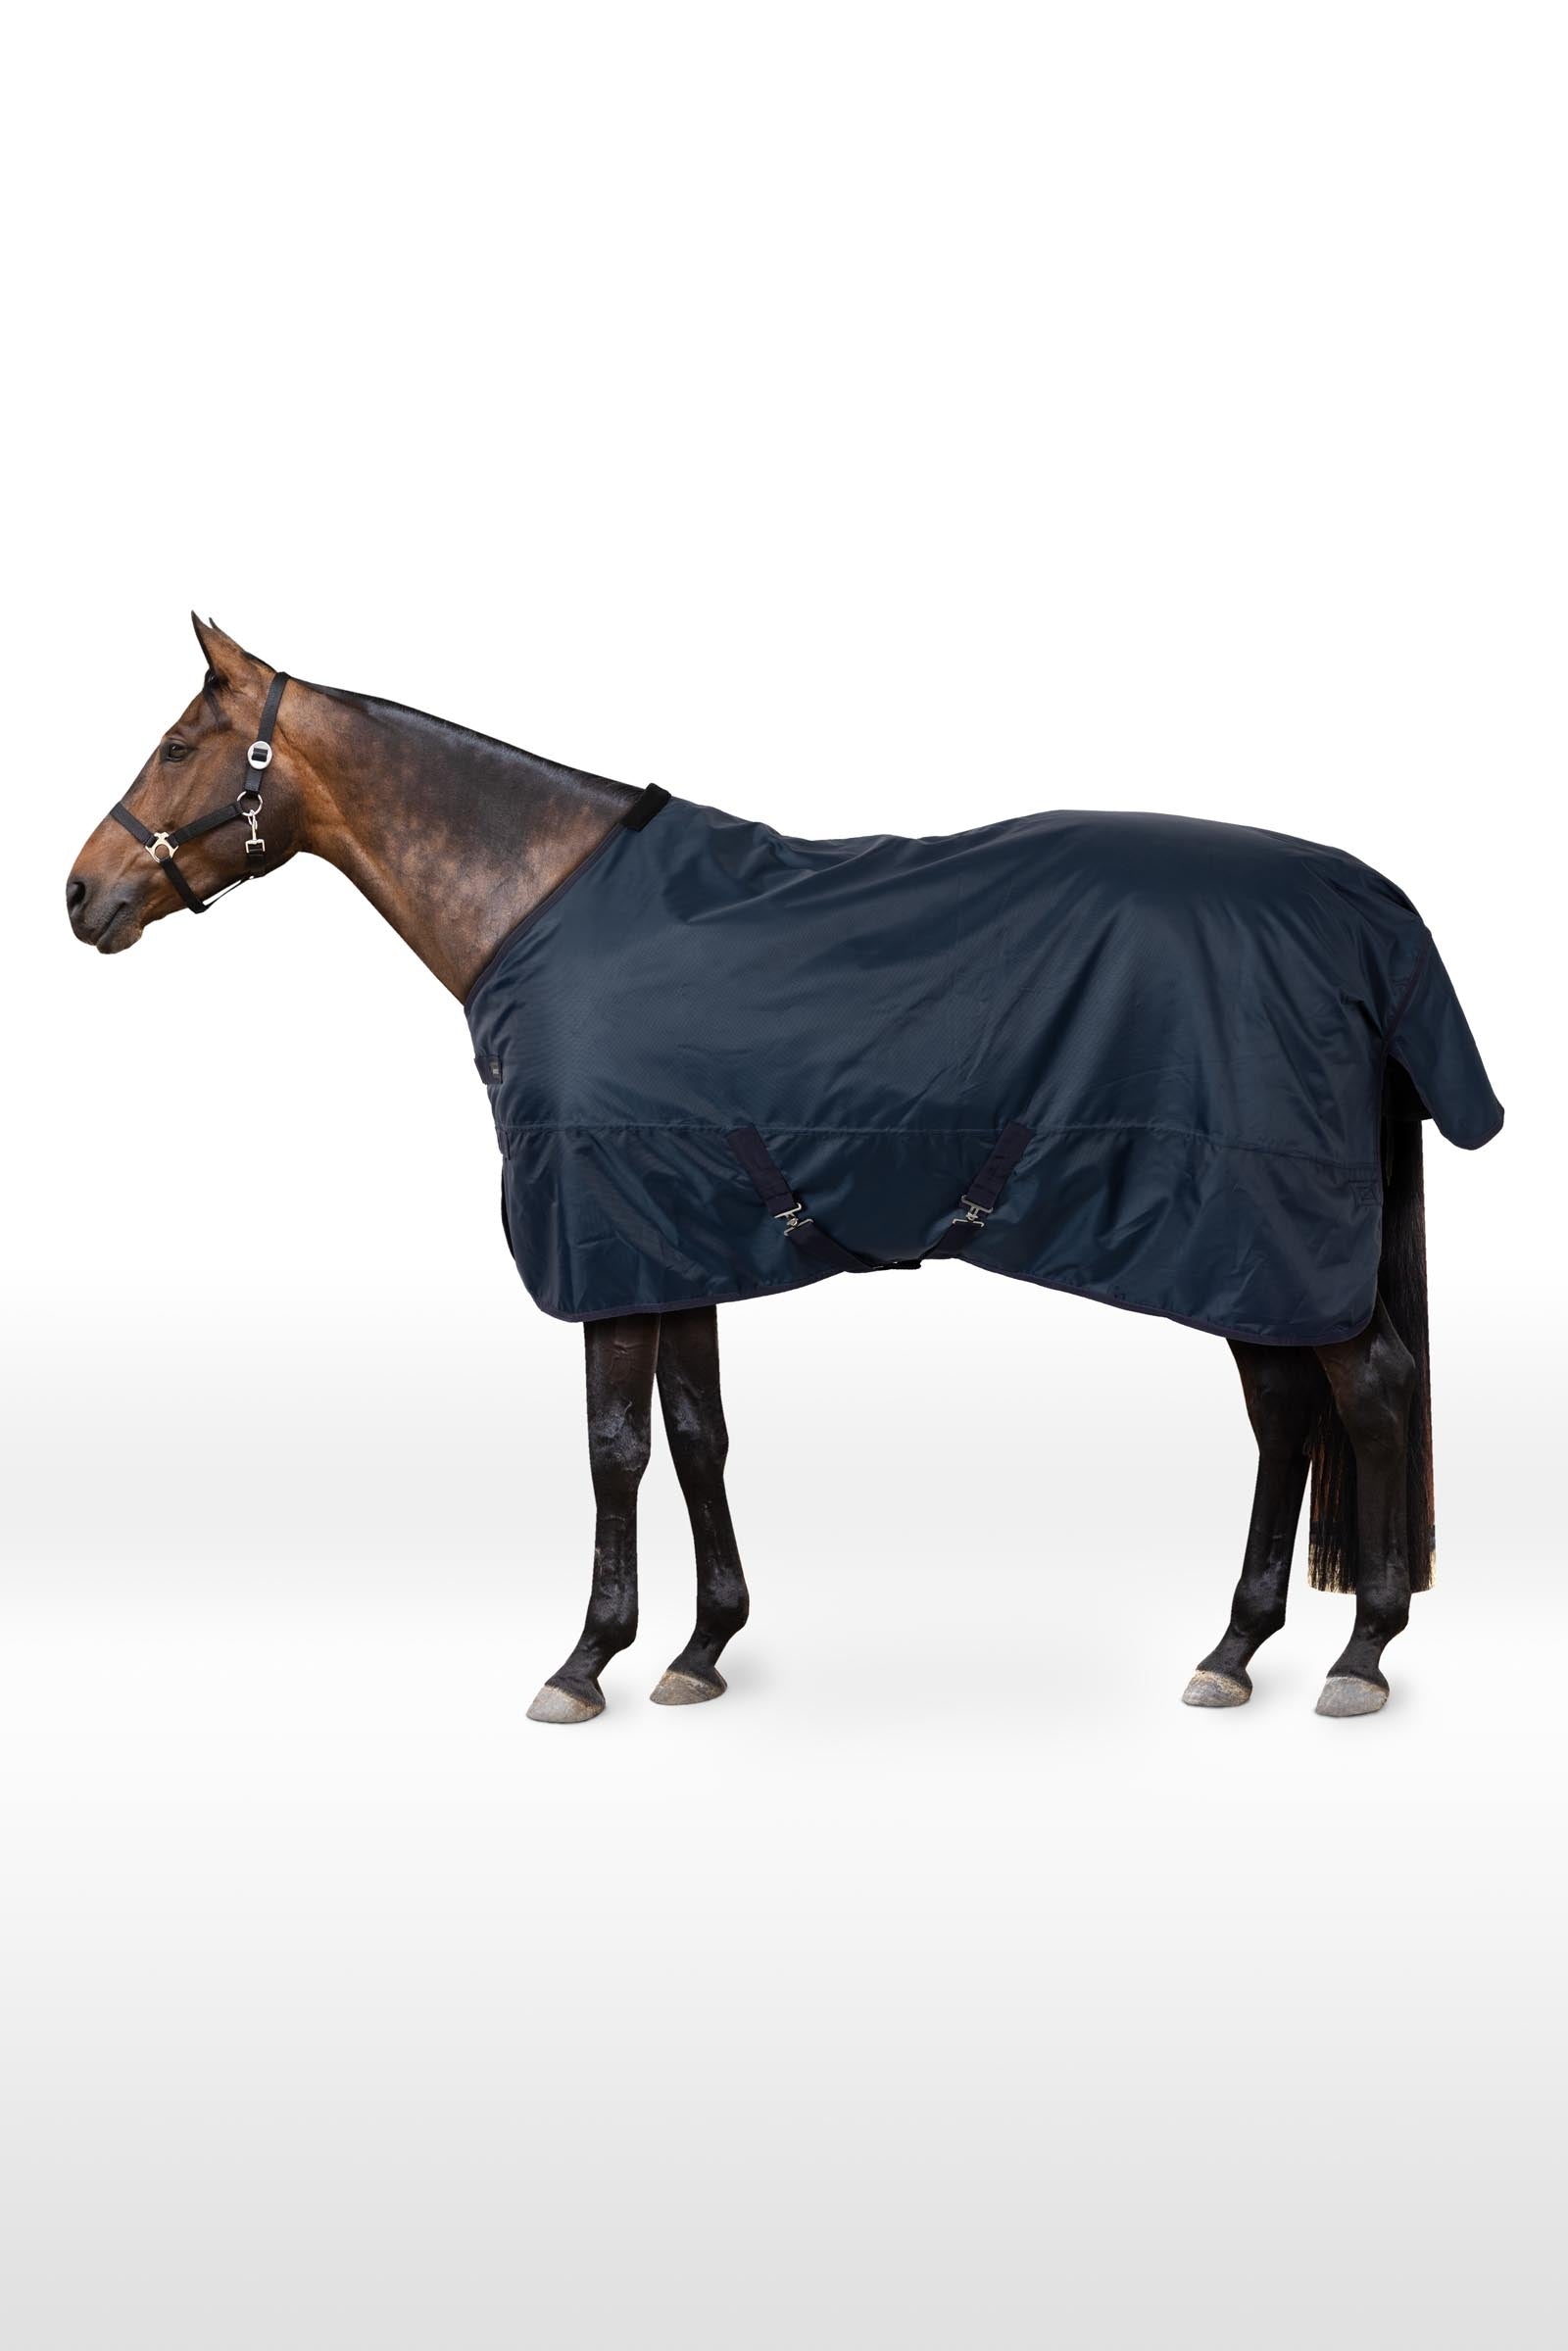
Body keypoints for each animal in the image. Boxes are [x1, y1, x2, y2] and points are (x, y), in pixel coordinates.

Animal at [66, 617, 1502, 1724]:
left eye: (180, 744)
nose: (81, 894)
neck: (544, 903)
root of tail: (1367, 910)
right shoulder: (678, 1235)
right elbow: (696, 1433)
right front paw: (702, 1647)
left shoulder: (606, 1242)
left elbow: (613, 1447)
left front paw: (586, 1659)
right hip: (1240, 1247)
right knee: (1286, 1412)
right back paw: (1236, 1647)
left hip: (1267, 1228)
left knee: (1369, 1392)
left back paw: (1362, 1651)